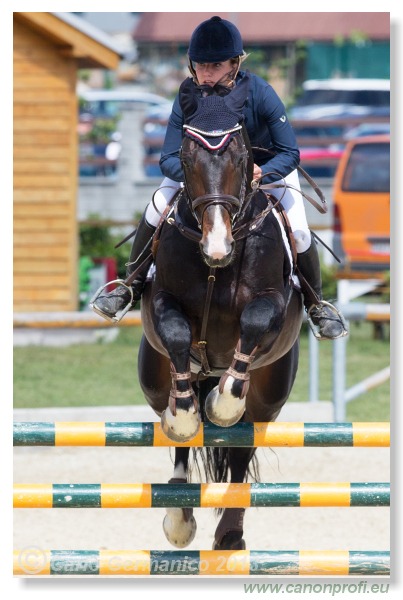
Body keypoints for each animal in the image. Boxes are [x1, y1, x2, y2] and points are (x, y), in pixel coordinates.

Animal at [138, 76, 304, 552]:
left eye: (241, 156)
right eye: (186, 158)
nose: (217, 247)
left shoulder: (271, 302)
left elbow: (252, 324)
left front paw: (224, 402)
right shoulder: (163, 303)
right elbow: (177, 335)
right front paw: (184, 414)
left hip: (268, 397)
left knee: (242, 445)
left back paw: (230, 532)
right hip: (155, 377)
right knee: (180, 433)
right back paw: (179, 514)